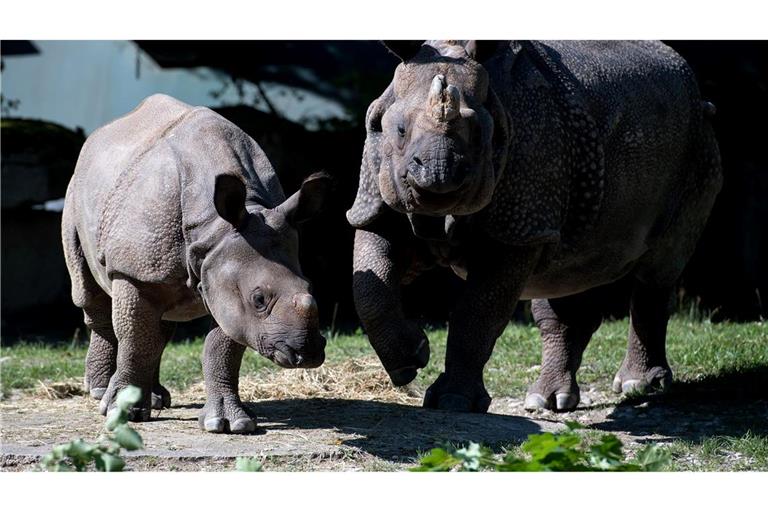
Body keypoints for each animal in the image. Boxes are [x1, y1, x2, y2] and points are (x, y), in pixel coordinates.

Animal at [63, 95, 330, 432]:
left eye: (310, 286)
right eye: (259, 299)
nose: (306, 353)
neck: (215, 229)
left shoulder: (223, 277)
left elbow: (222, 346)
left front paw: (228, 423)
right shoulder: (135, 271)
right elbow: (135, 339)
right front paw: (120, 413)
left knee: (159, 325)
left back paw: (154, 399)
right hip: (76, 193)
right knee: (91, 295)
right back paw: (100, 392)